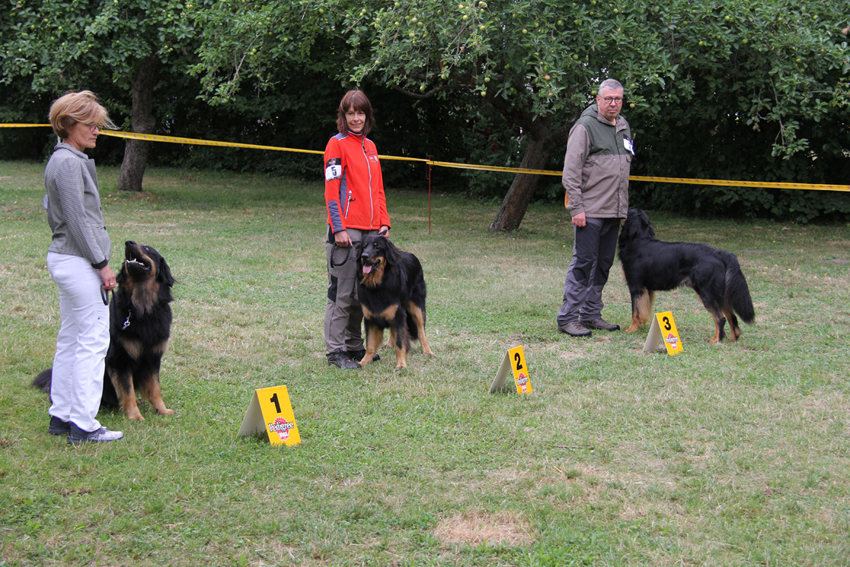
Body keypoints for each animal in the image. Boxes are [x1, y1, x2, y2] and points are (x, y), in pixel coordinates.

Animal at [33, 242, 177, 420]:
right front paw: (134, 416)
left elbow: (155, 389)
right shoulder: (120, 360)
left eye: (147, 248)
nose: (128, 242)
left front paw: (162, 410)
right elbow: (127, 390)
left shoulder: (153, 358)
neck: (141, 310)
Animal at [354, 234, 434, 370]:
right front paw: (363, 362)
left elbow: (400, 343)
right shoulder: (370, 318)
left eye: (377, 247)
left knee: (421, 331)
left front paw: (401, 364)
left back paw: (428, 351)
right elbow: (370, 344)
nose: (364, 256)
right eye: (364, 246)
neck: (377, 285)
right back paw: (389, 343)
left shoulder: (398, 315)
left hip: (417, 306)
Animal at [616, 209, 756, 342]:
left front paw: (632, 328)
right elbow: (644, 310)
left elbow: (635, 311)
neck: (639, 240)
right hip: (720, 294)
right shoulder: (648, 289)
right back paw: (733, 338)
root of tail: (719, 253)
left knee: (720, 318)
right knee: (731, 316)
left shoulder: (636, 287)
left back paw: (717, 339)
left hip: (706, 292)